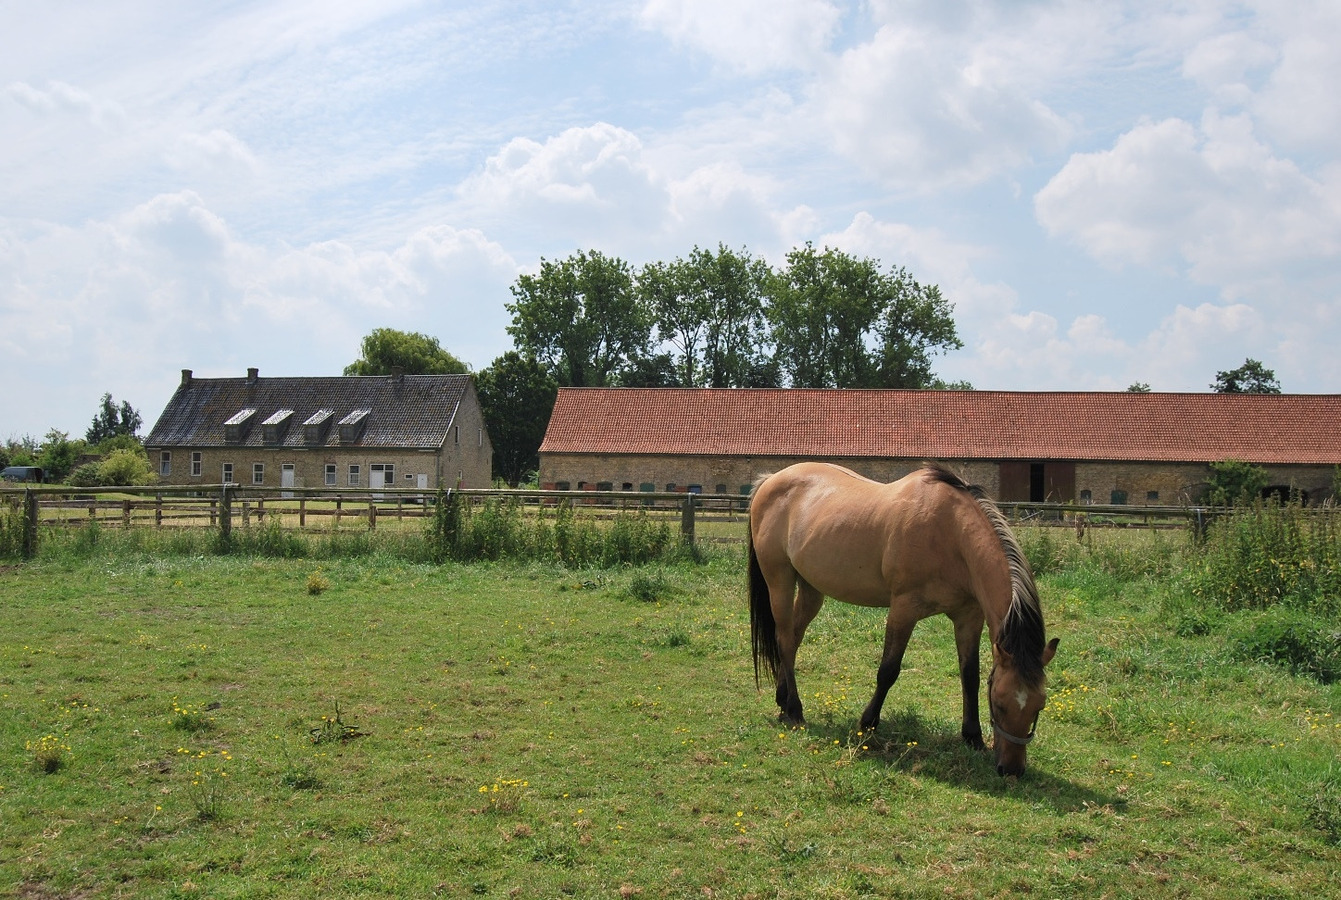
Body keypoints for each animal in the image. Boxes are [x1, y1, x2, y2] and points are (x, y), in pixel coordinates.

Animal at [750, 464, 1051, 772]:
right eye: (1000, 704)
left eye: (1039, 706)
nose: (1011, 770)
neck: (952, 534)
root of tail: (770, 480)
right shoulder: (904, 610)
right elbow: (888, 671)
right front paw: (867, 724)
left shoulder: (968, 617)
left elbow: (969, 676)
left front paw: (972, 737)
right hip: (780, 580)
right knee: (785, 640)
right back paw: (795, 710)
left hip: (811, 589)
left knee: (793, 638)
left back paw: (783, 701)